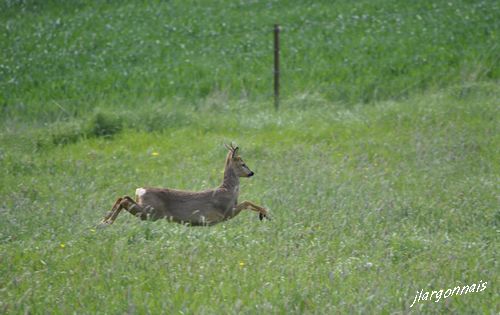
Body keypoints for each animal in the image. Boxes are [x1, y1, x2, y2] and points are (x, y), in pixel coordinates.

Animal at [98, 144, 270, 226]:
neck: (228, 190)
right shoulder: (226, 212)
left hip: (147, 209)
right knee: (124, 200)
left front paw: (264, 214)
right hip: (151, 212)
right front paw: (265, 213)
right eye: (243, 164)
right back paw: (107, 222)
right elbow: (247, 202)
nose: (252, 172)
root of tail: (140, 190)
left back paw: (104, 220)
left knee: (123, 196)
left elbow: (247, 202)